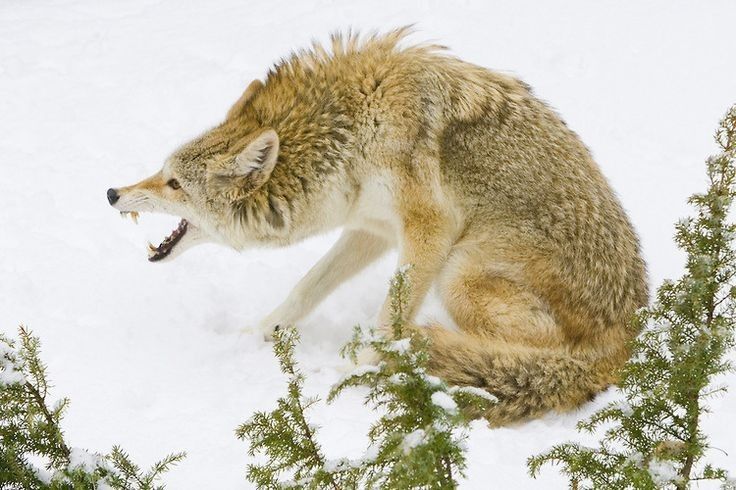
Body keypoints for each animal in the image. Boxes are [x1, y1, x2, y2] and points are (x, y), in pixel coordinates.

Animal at [107, 28, 648, 425]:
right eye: (162, 171)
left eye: (174, 183)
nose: (111, 193)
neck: (352, 130)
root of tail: (629, 338)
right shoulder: (371, 228)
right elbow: (308, 286)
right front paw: (262, 333)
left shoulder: (429, 230)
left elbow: (390, 321)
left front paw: (354, 372)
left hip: (459, 274)